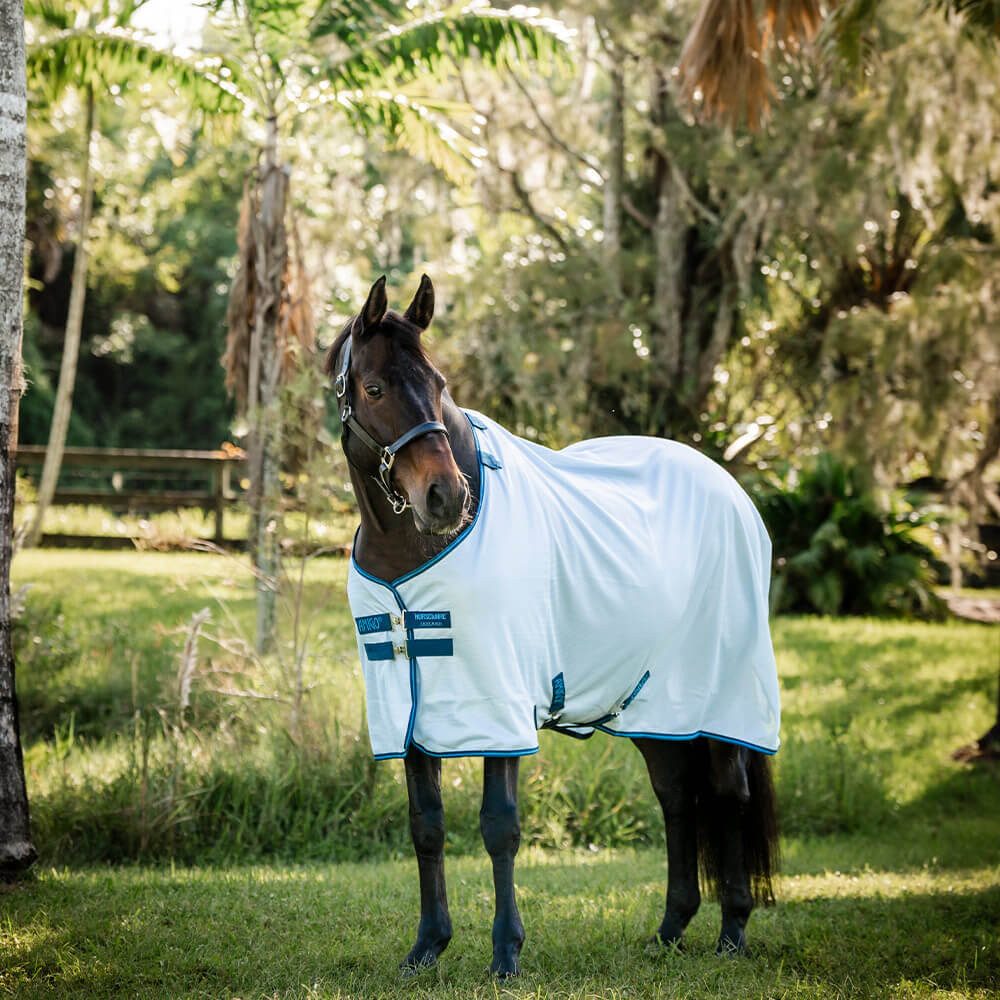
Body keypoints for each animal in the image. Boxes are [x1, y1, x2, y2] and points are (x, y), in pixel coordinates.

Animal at [326, 274, 780, 978]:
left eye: (439, 382)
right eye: (373, 389)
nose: (445, 498)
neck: (410, 557)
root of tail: (728, 486)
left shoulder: (499, 703)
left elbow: (499, 827)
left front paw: (506, 953)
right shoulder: (408, 713)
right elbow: (426, 826)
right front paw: (427, 946)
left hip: (720, 699)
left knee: (729, 795)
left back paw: (732, 931)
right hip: (657, 708)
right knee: (677, 796)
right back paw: (670, 930)